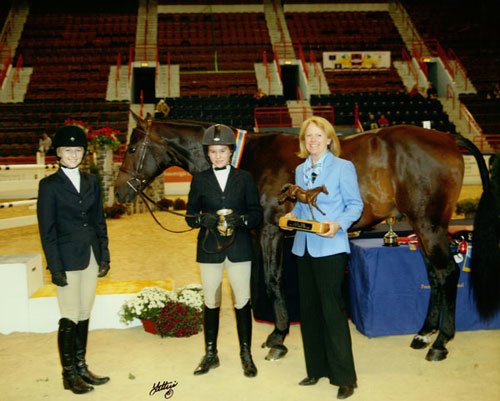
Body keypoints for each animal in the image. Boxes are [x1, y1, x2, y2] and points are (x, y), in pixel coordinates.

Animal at [115, 111, 500, 360]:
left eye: (132, 149)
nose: (118, 192)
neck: (246, 158)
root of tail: (447, 136)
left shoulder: (270, 230)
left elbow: (272, 280)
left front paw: (278, 337)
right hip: (423, 227)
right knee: (434, 276)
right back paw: (423, 334)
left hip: (429, 224)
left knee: (447, 273)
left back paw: (441, 343)